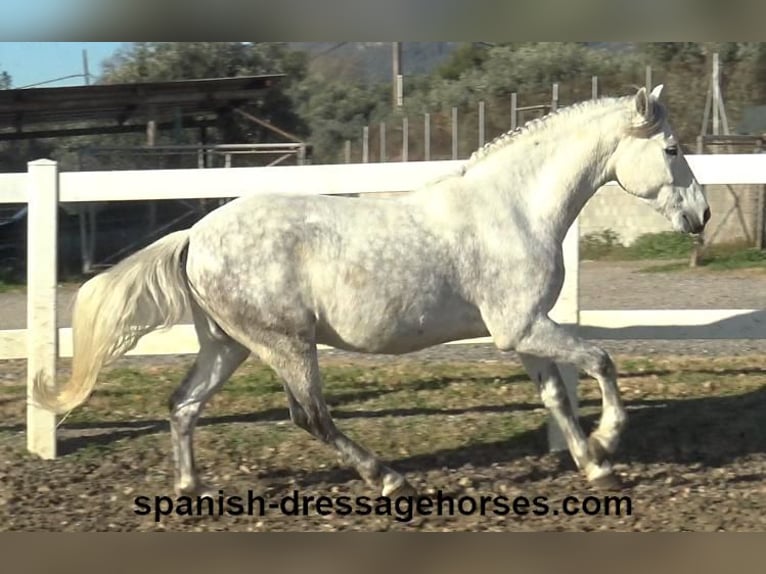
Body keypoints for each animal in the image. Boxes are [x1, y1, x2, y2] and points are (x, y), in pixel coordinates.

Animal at [34, 86, 708, 500]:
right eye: (672, 148)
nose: (701, 215)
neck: (514, 208)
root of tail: (195, 235)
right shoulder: (521, 326)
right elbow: (601, 360)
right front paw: (609, 442)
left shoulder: (523, 333)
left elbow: (556, 398)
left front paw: (594, 466)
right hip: (287, 345)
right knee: (309, 415)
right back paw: (387, 479)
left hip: (229, 346)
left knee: (183, 406)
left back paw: (189, 487)